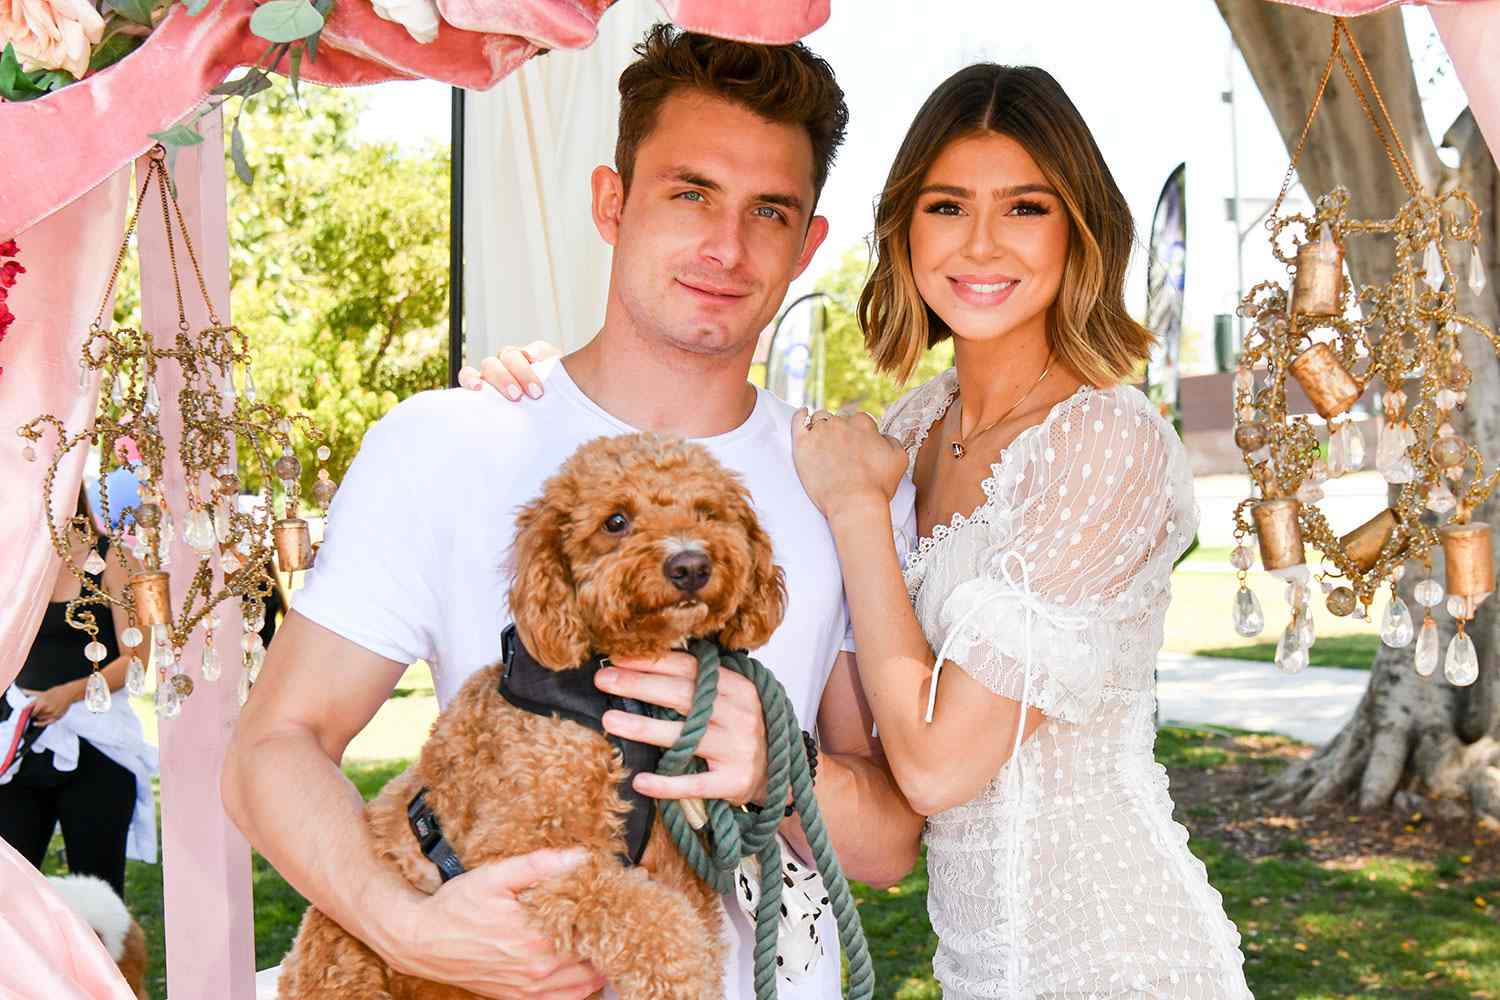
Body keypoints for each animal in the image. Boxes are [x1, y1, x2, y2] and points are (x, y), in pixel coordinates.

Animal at [279, 431, 786, 1000]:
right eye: (616, 520)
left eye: (707, 512)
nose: (690, 564)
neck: (608, 696)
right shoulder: (524, 853)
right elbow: (654, 925)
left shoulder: (678, 872)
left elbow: (685, 931)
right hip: (343, 962)